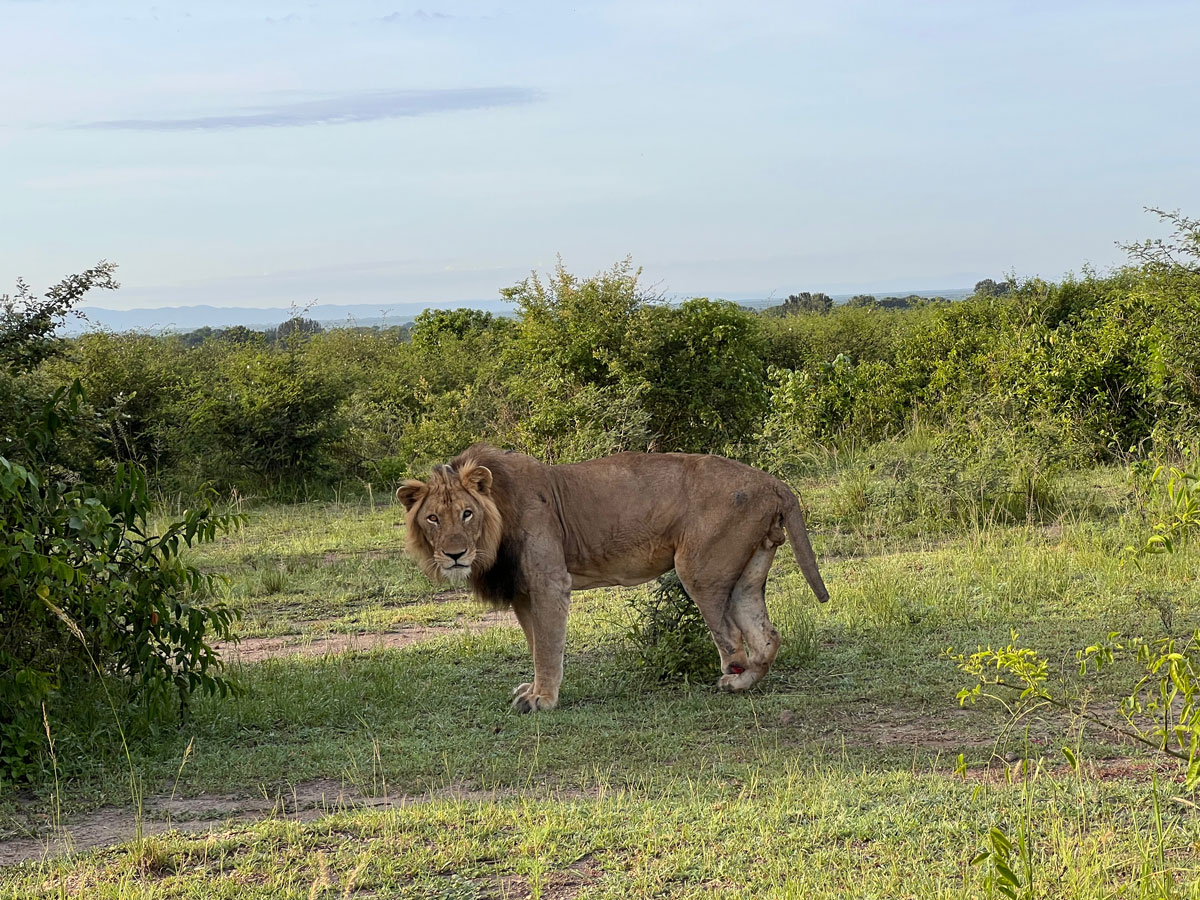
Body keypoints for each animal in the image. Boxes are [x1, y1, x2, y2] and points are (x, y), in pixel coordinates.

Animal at [397, 444, 829, 712]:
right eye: (433, 518)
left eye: (467, 513)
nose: (455, 554)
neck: (496, 521)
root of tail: (771, 481)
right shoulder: (523, 593)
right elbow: (536, 644)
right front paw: (533, 690)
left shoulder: (550, 583)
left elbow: (547, 648)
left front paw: (543, 699)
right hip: (746, 575)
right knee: (766, 637)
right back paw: (747, 681)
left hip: (700, 569)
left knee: (734, 641)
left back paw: (732, 684)